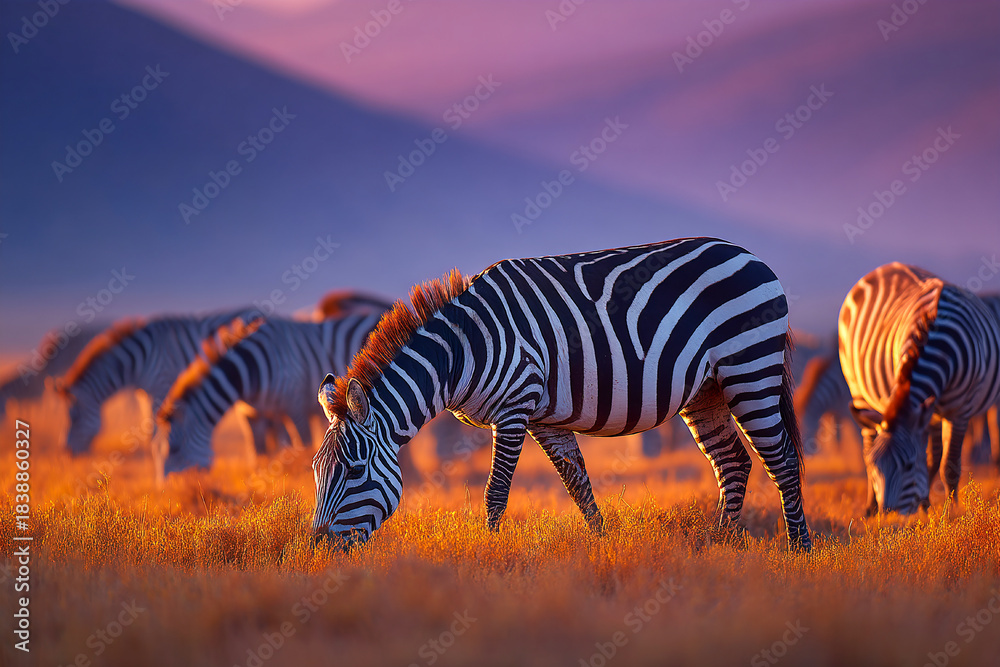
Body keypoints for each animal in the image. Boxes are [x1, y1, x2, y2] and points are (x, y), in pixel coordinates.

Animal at [155, 310, 387, 476]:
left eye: (174, 449)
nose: (168, 489)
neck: (251, 372)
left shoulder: (295, 406)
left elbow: (303, 445)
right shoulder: (253, 414)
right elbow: (258, 452)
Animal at [312, 238, 811, 551]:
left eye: (354, 472)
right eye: (317, 472)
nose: (317, 548)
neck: (462, 352)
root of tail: (750, 255)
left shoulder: (515, 406)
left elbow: (496, 491)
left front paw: (487, 559)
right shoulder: (545, 419)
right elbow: (579, 486)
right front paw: (602, 548)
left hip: (749, 368)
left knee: (782, 458)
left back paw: (798, 551)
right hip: (706, 389)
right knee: (733, 461)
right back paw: (718, 545)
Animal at [839, 263, 1000, 515]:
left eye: (908, 465)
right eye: (876, 465)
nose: (888, 514)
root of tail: (886, 266)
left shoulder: (957, 412)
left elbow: (948, 465)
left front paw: (950, 513)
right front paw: (929, 507)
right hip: (856, 388)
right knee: (867, 439)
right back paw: (870, 506)